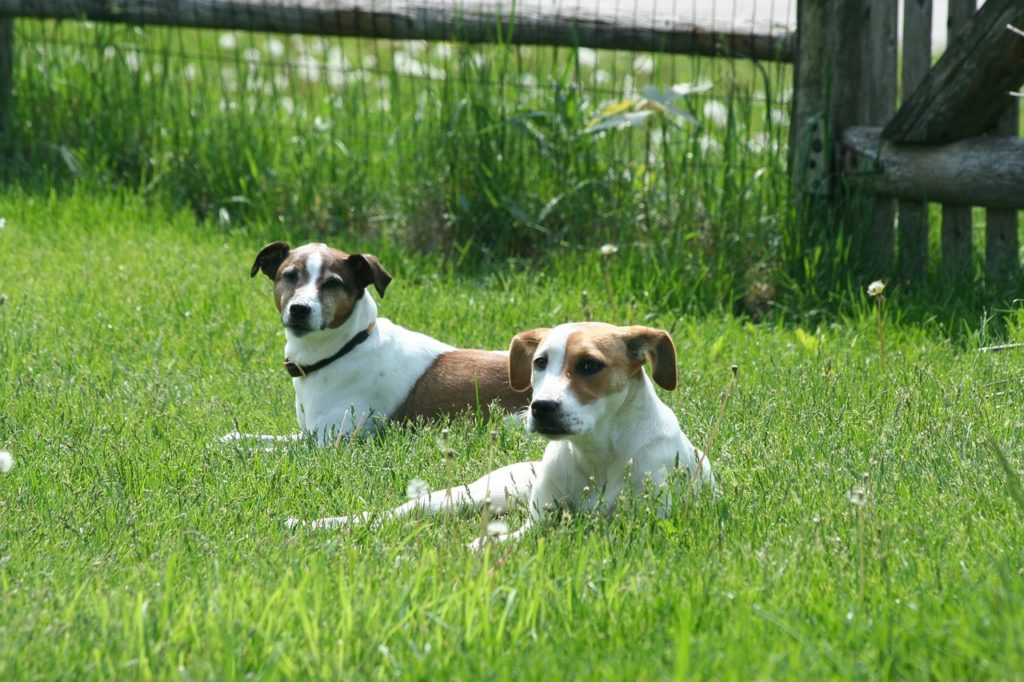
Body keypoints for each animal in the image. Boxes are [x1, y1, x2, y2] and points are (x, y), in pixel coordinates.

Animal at [225, 241, 528, 444]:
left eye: (333, 283)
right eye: (289, 275)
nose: (300, 309)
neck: (346, 348)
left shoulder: (329, 443)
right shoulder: (307, 435)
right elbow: (252, 439)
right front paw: (231, 439)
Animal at [288, 321, 716, 544]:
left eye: (590, 365)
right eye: (540, 362)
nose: (542, 408)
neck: (596, 454)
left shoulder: (639, 526)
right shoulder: (539, 519)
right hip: (466, 495)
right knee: (395, 513)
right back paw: (316, 525)